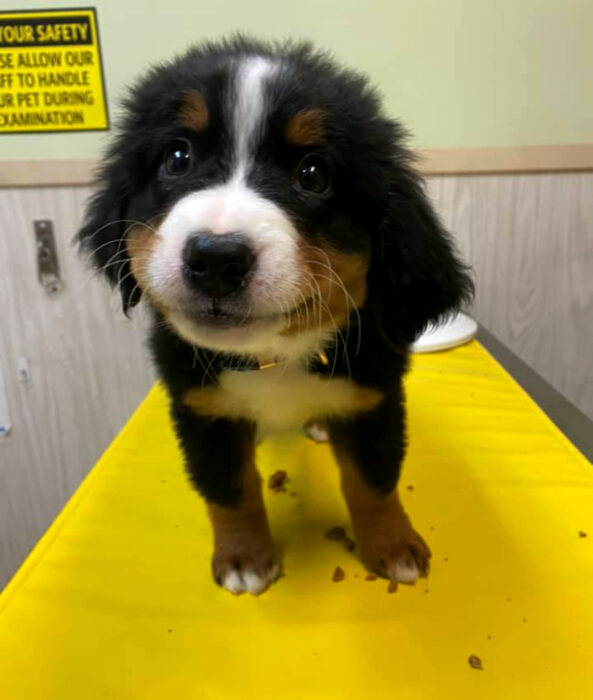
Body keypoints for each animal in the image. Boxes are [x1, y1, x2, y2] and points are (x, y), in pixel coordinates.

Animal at [77, 38, 472, 596]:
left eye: (313, 174)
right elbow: (229, 489)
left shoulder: (375, 396)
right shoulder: (201, 408)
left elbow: (373, 481)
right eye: (177, 157)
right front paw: (245, 557)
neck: (274, 356)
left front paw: (394, 546)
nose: (216, 258)